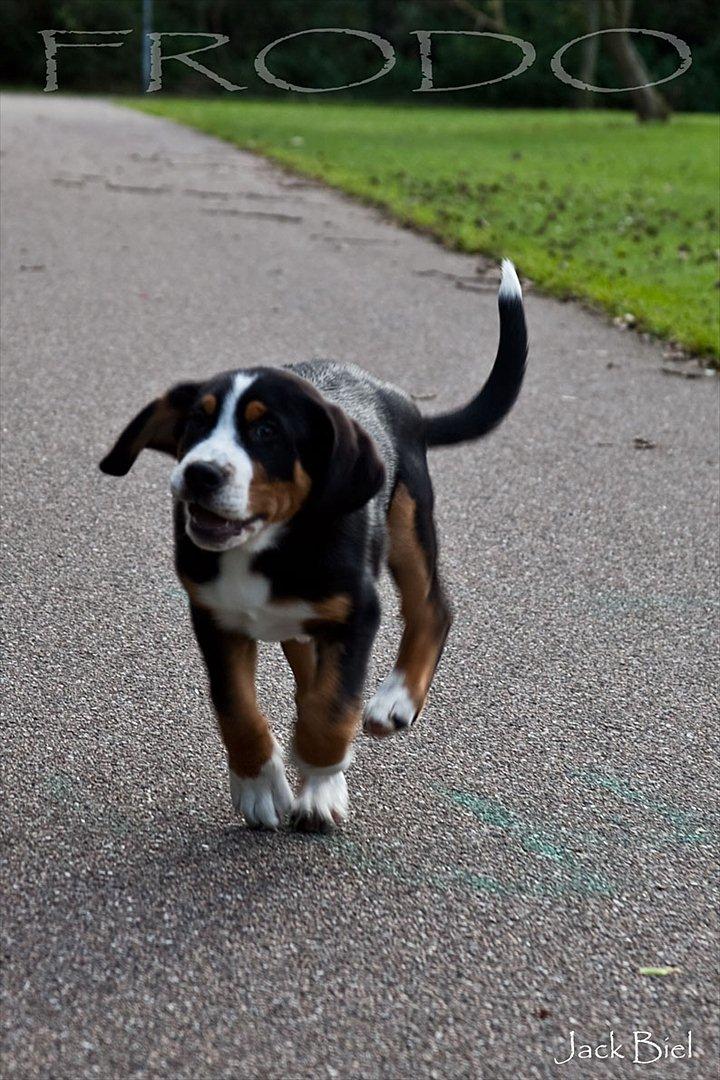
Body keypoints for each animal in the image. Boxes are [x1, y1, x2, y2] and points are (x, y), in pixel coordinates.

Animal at [101, 257, 526, 829]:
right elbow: (238, 708)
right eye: (195, 422)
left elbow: (332, 710)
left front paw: (321, 786)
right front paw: (259, 784)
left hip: (407, 518)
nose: (200, 474)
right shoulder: (213, 616)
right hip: (310, 620)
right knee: (311, 676)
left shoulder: (358, 612)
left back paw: (394, 702)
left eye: (267, 433)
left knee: (431, 607)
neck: (264, 547)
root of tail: (397, 399)